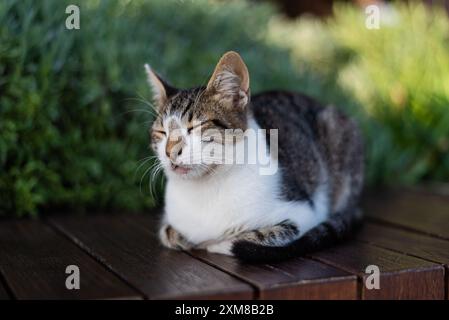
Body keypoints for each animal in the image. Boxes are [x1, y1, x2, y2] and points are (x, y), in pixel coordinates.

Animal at [145, 50, 362, 262]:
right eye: (161, 132)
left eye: (195, 127)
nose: (169, 151)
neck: (205, 189)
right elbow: (169, 233)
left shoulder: (307, 213)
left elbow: (255, 235)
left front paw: (220, 243)